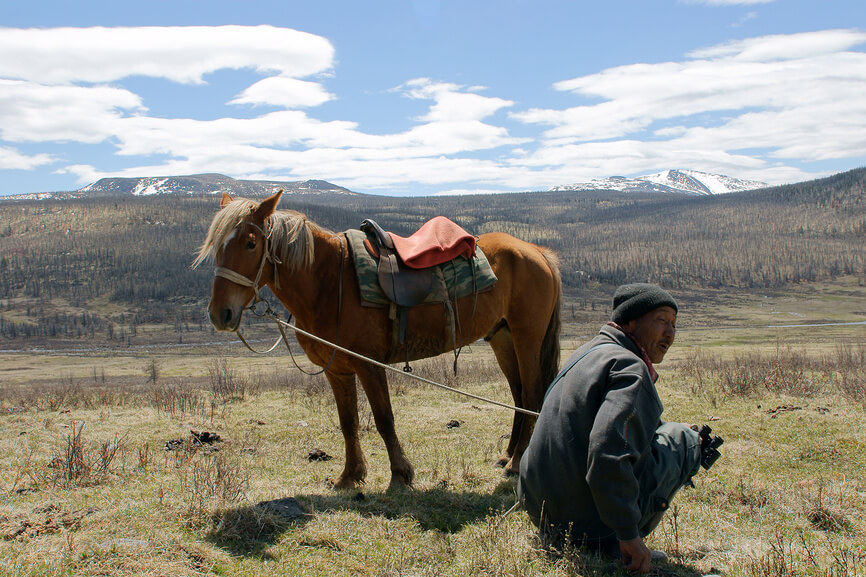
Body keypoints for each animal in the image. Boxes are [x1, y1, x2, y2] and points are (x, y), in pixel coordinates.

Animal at [194, 191, 560, 488]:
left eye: (250, 243)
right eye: (216, 245)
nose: (220, 314)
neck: (329, 283)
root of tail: (538, 252)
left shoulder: (369, 366)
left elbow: (384, 418)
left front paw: (400, 474)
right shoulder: (337, 370)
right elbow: (348, 422)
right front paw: (350, 475)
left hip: (527, 337)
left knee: (531, 394)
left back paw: (515, 464)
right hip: (502, 338)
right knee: (517, 394)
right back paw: (507, 455)